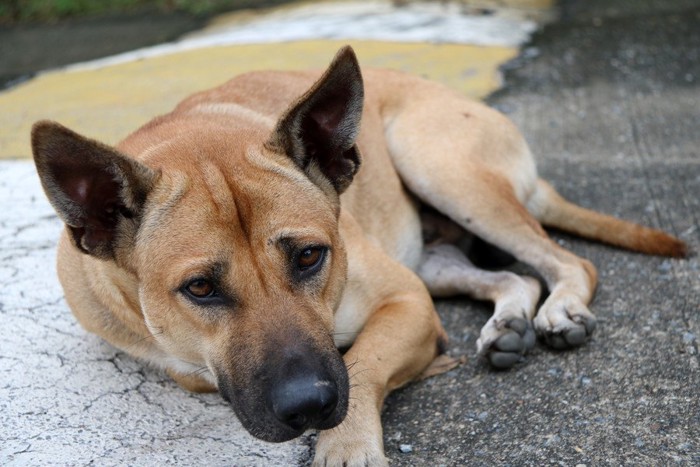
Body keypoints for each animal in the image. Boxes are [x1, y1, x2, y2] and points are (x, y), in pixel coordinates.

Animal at [31, 46, 684, 464]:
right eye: (200, 288)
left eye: (310, 257)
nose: (307, 405)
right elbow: (197, 370)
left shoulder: (406, 302)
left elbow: (363, 363)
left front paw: (346, 446)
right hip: (434, 258)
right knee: (515, 279)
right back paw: (508, 324)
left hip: (440, 167)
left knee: (570, 262)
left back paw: (561, 309)